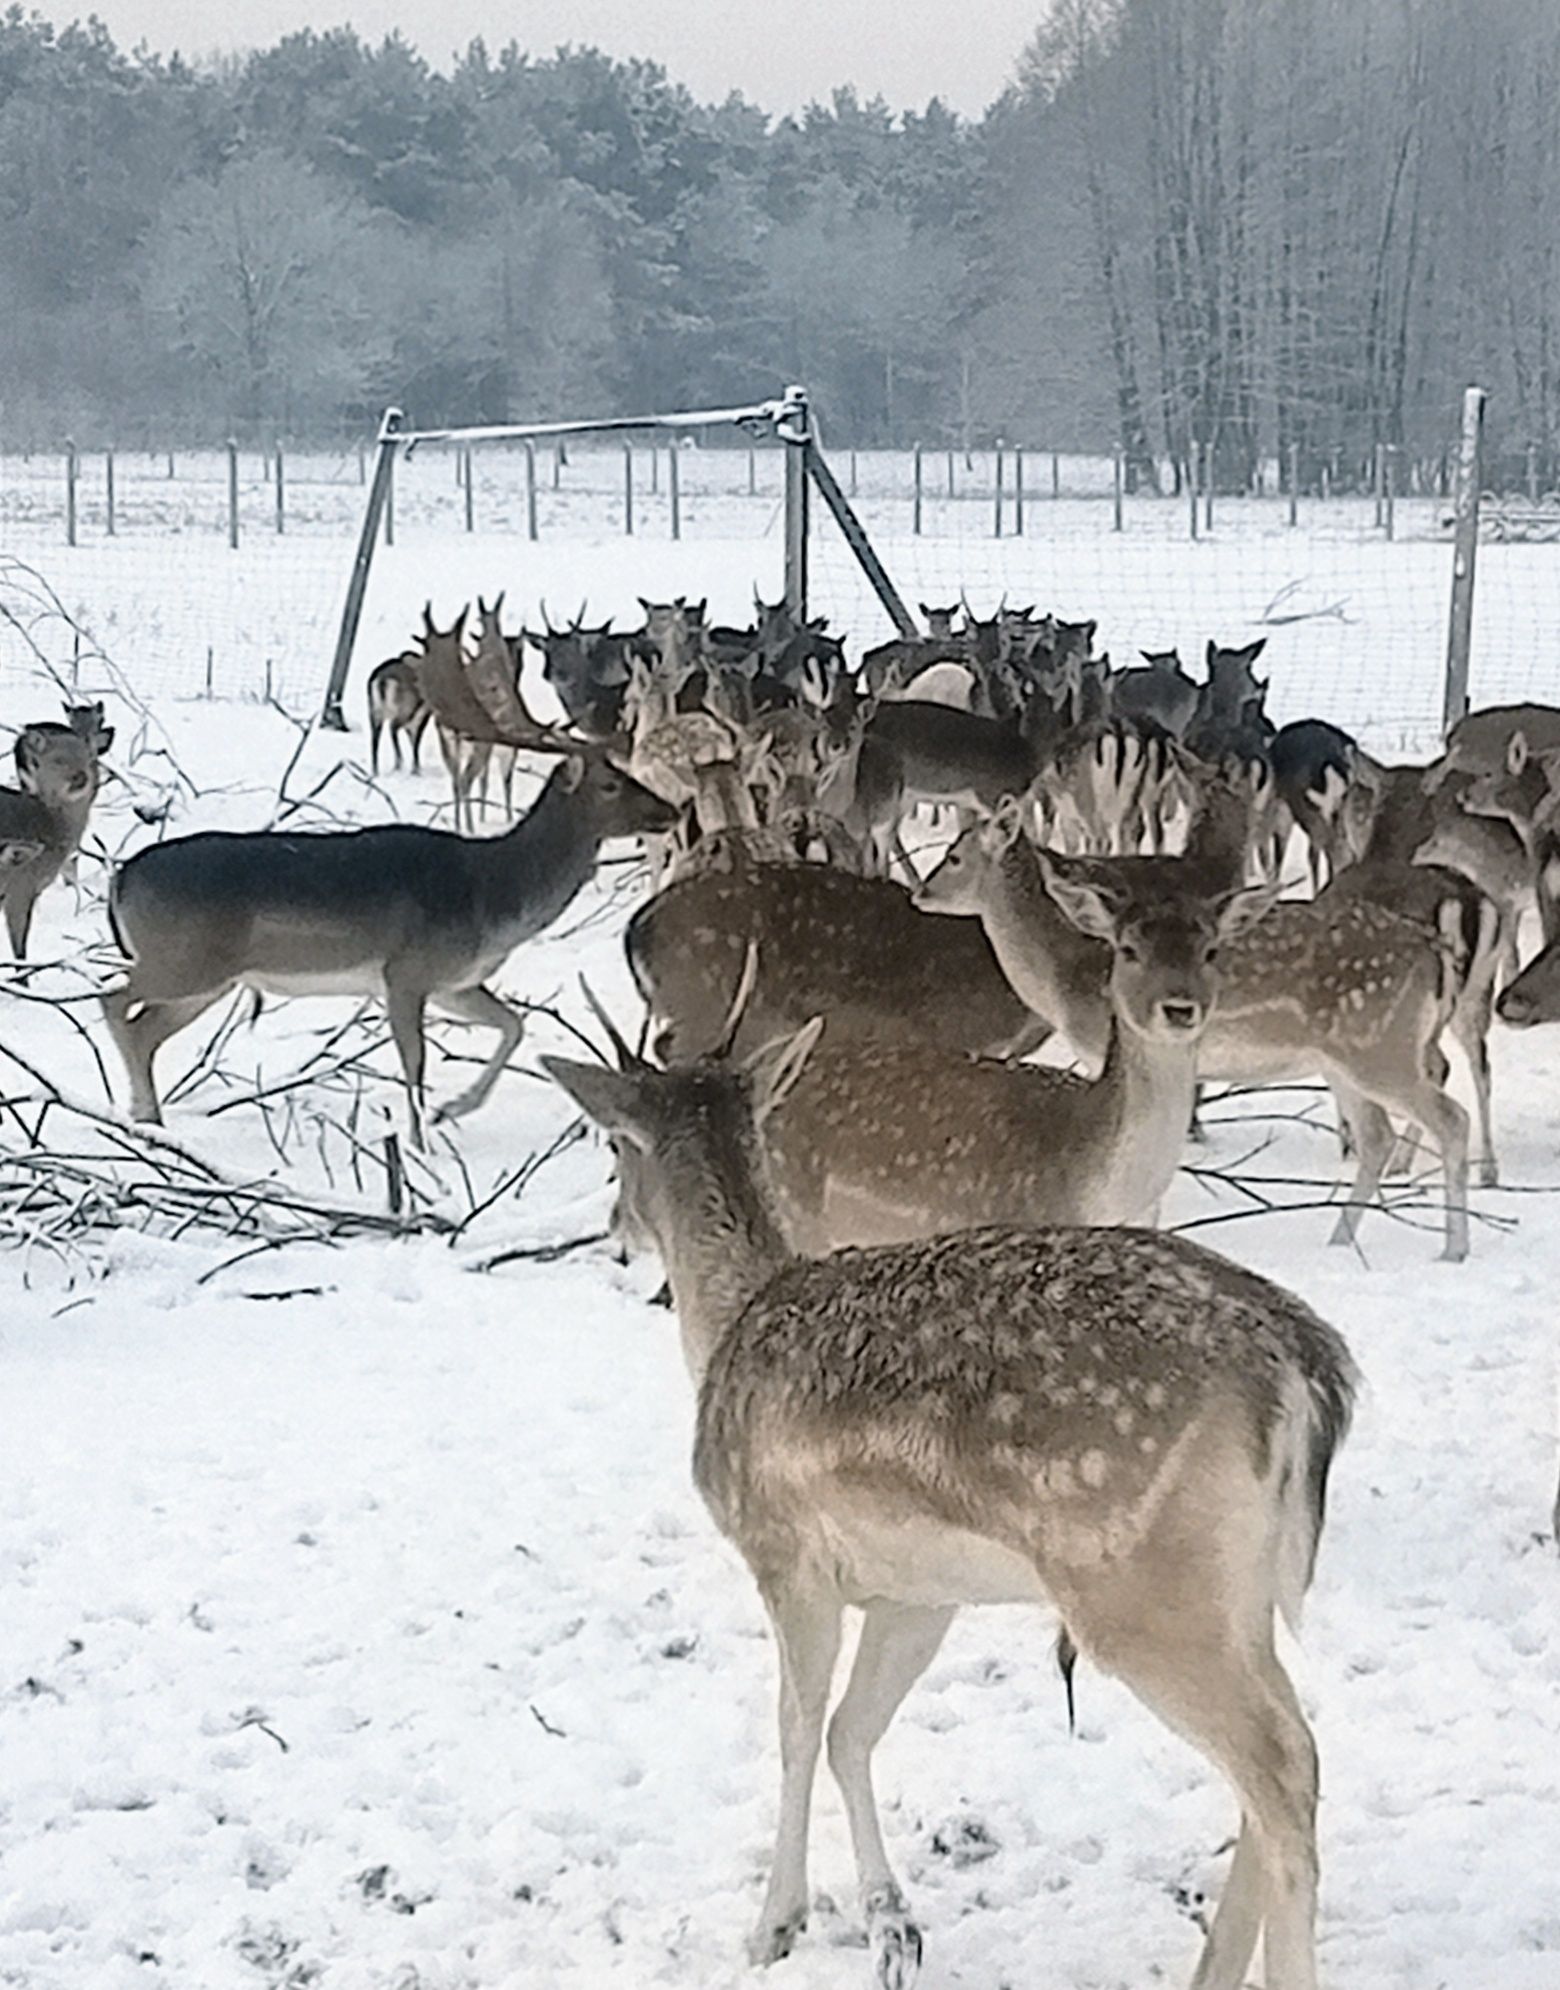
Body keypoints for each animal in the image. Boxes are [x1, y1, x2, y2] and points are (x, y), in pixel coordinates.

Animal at [101, 752, 676, 1146]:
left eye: (626, 771)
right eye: (610, 784)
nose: (669, 809)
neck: (495, 894)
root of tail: (121, 879)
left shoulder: (452, 982)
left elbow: (513, 1025)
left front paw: (453, 1109)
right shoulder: (407, 972)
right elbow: (415, 1063)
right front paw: (422, 1146)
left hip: (209, 980)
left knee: (145, 1030)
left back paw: (149, 1122)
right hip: (182, 961)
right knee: (112, 1001)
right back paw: (140, 1115)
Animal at [545, 1026, 1353, 1990]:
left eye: (612, 1144)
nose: (614, 1231)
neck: (730, 1325)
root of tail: (1306, 1368)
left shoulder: (784, 1555)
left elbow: (795, 1728)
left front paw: (776, 1925)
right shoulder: (919, 1593)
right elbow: (851, 1731)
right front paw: (892, 1926)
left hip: (1146, 1588)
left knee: (1284, 1763)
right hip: (1235, 1588)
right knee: (1271, 1765)